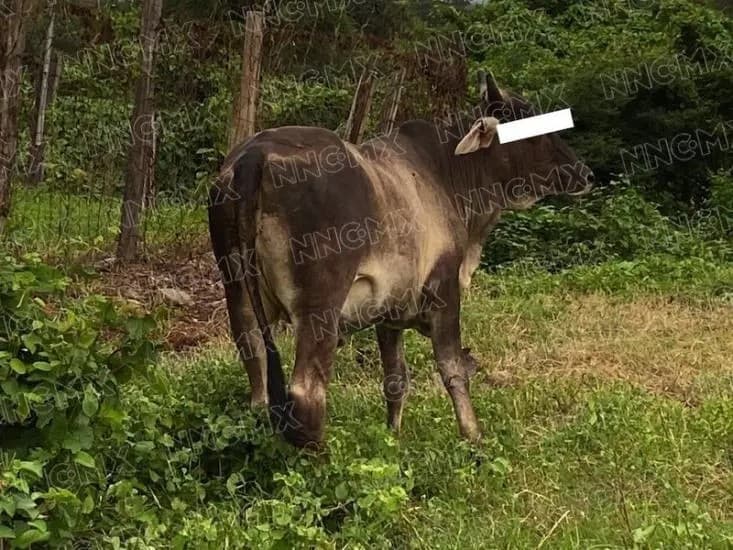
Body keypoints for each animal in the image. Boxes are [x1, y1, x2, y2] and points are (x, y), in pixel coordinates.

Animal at [208, 73, 594, 448]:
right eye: (532, 130)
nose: (585, 173)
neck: (447, 173)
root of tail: (254, 156)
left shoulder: (388, 312)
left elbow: (395, 380)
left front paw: (392, 437)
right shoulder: (443, 289)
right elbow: (453, 370)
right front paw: (473, 437)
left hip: (238, 295)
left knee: (257, 374)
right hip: (319, 308)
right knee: (307, 393)